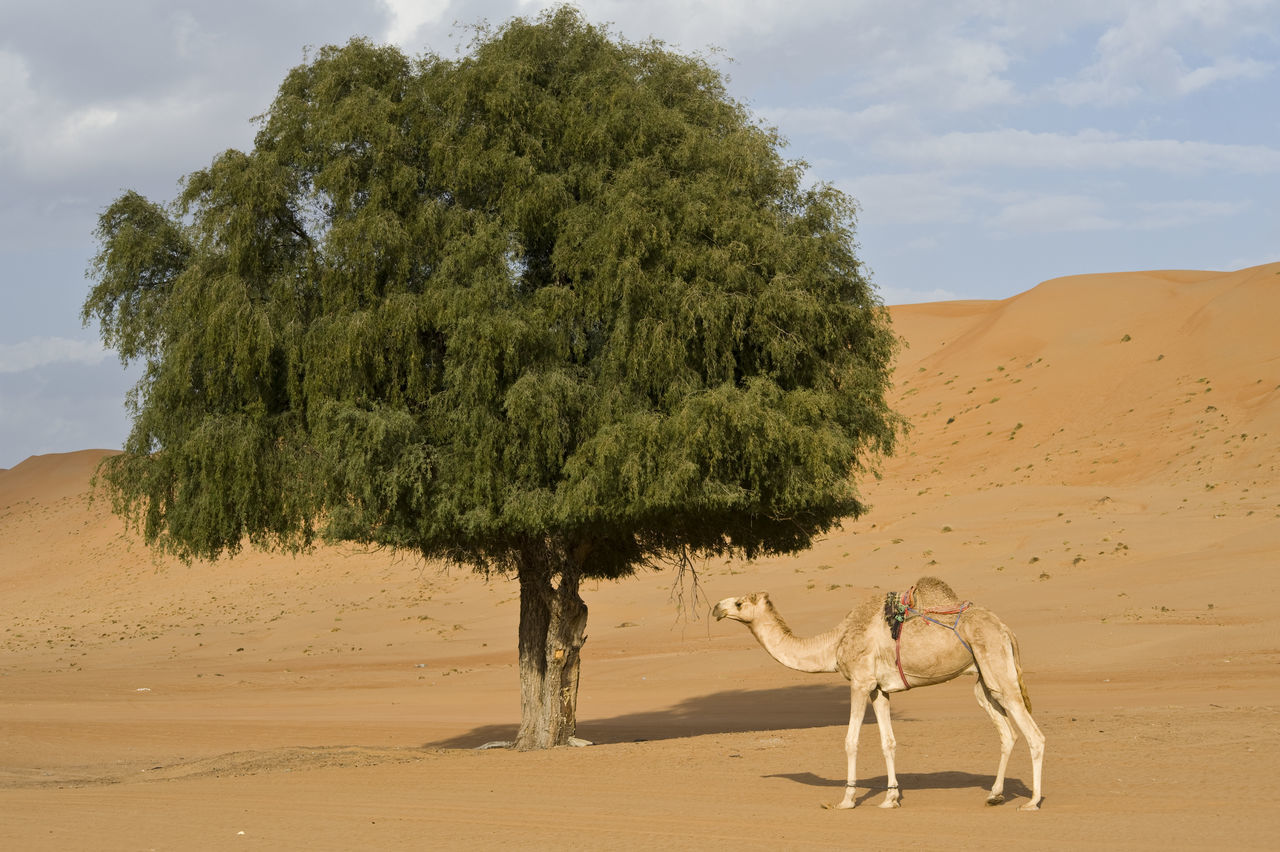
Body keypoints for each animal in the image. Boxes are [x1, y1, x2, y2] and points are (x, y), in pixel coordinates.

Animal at [712, 576, 1044, 810]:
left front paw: (846, 800)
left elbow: (851, 741)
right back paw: (995, 796)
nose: (716, 608)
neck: (835, 644)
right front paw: (890, 799)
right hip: (984, 681)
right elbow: (888, 742)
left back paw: (1032, 802)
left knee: (1034, 735)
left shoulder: (860, 682)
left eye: (739, 603)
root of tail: (1006, 630)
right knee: (1007, 733)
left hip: (999, 670)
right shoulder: (879, 690)